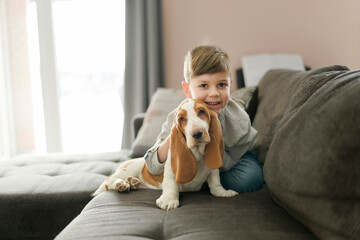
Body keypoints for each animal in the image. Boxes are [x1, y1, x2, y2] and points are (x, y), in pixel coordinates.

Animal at [94, 97, 238, 210]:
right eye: (182, 119)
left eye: (202, 112)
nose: (197, 134)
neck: (197, 154)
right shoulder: (171, 170)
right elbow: (170, 184)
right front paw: (168, 201)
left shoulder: (213, 169)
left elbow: (215, 184)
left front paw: (224, 192)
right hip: (129, 168)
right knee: (109, 181)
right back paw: (122, 184)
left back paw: (132, 182)